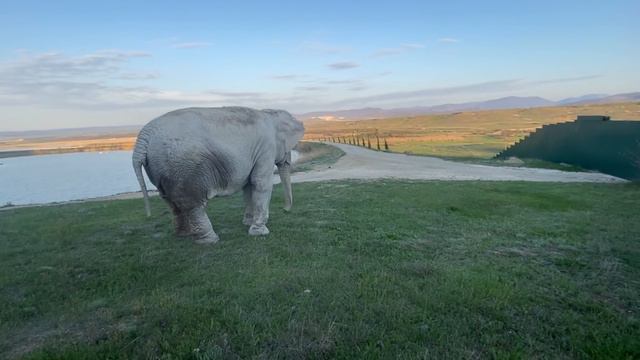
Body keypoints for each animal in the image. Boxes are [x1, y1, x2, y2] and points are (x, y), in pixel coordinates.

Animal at [132, 105, 304, 243]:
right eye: (288, 148)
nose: (285, 210)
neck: (269, 113)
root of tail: (144, 137)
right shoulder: (266, 148)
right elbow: (260, 183)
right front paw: (260, 233)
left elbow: (249, 186)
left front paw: (247, 224)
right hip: (183, 167)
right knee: (193, 204)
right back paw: (210, 240)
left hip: (161, 169)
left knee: (170, 201)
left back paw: (183, 235)